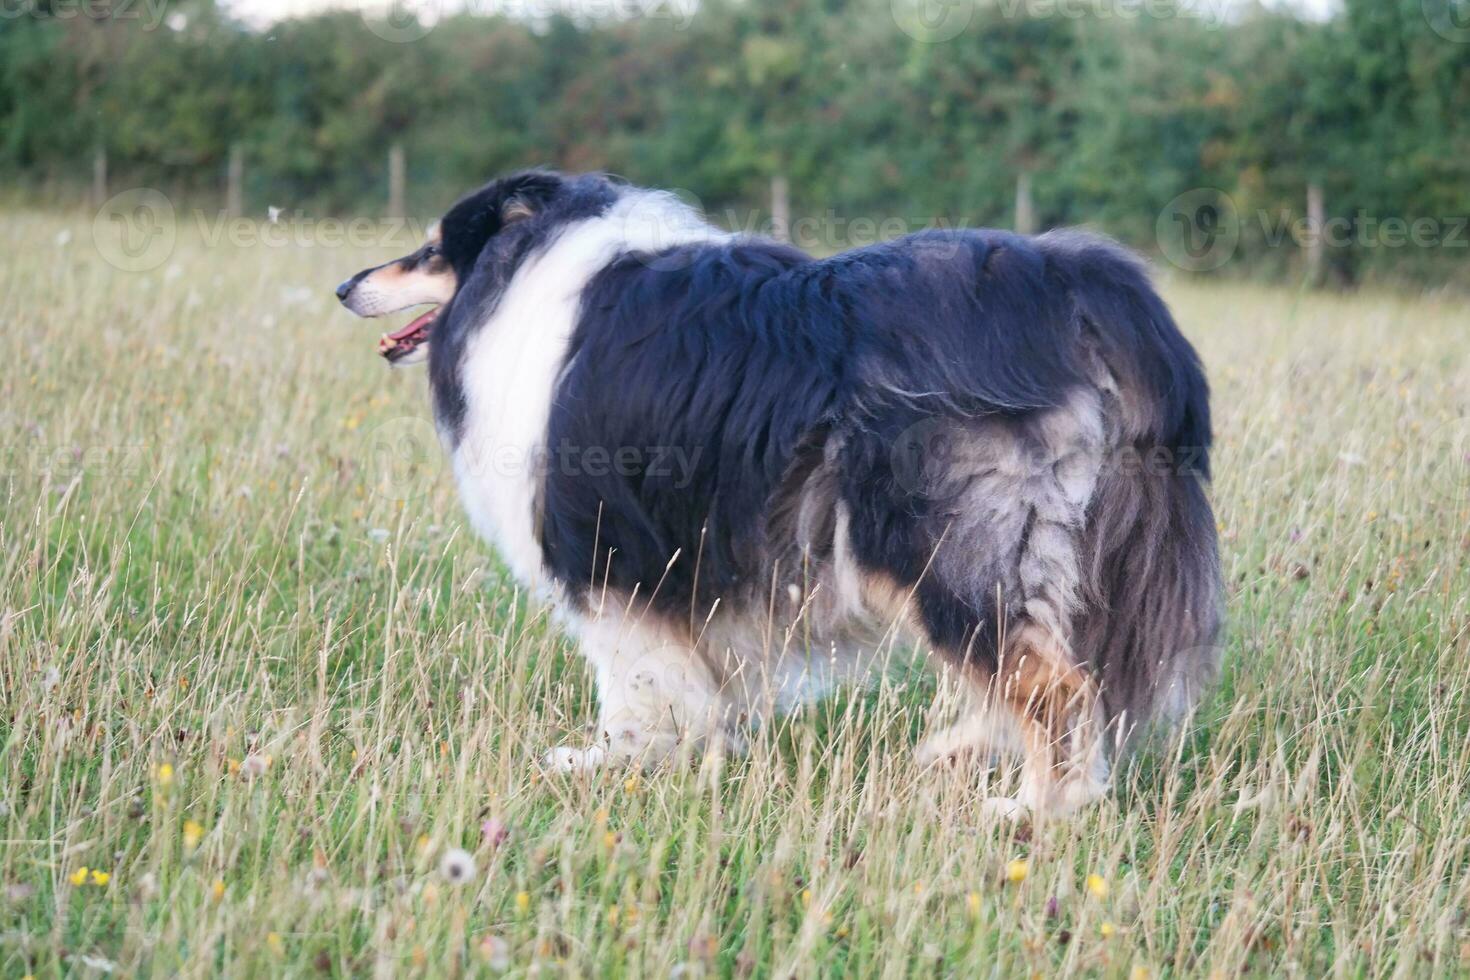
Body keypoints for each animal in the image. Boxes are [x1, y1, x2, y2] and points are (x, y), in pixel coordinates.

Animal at [338, 172, 1223, 816]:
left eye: (431, 249)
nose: (346, 285)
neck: (519, 273)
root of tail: (1078, 280)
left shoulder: (608, 555)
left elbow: (632, 679)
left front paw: (608, 761)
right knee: (1056, 673)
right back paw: (967, 750)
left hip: (939, 541)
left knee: (1054, 684)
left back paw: (1037, 810)